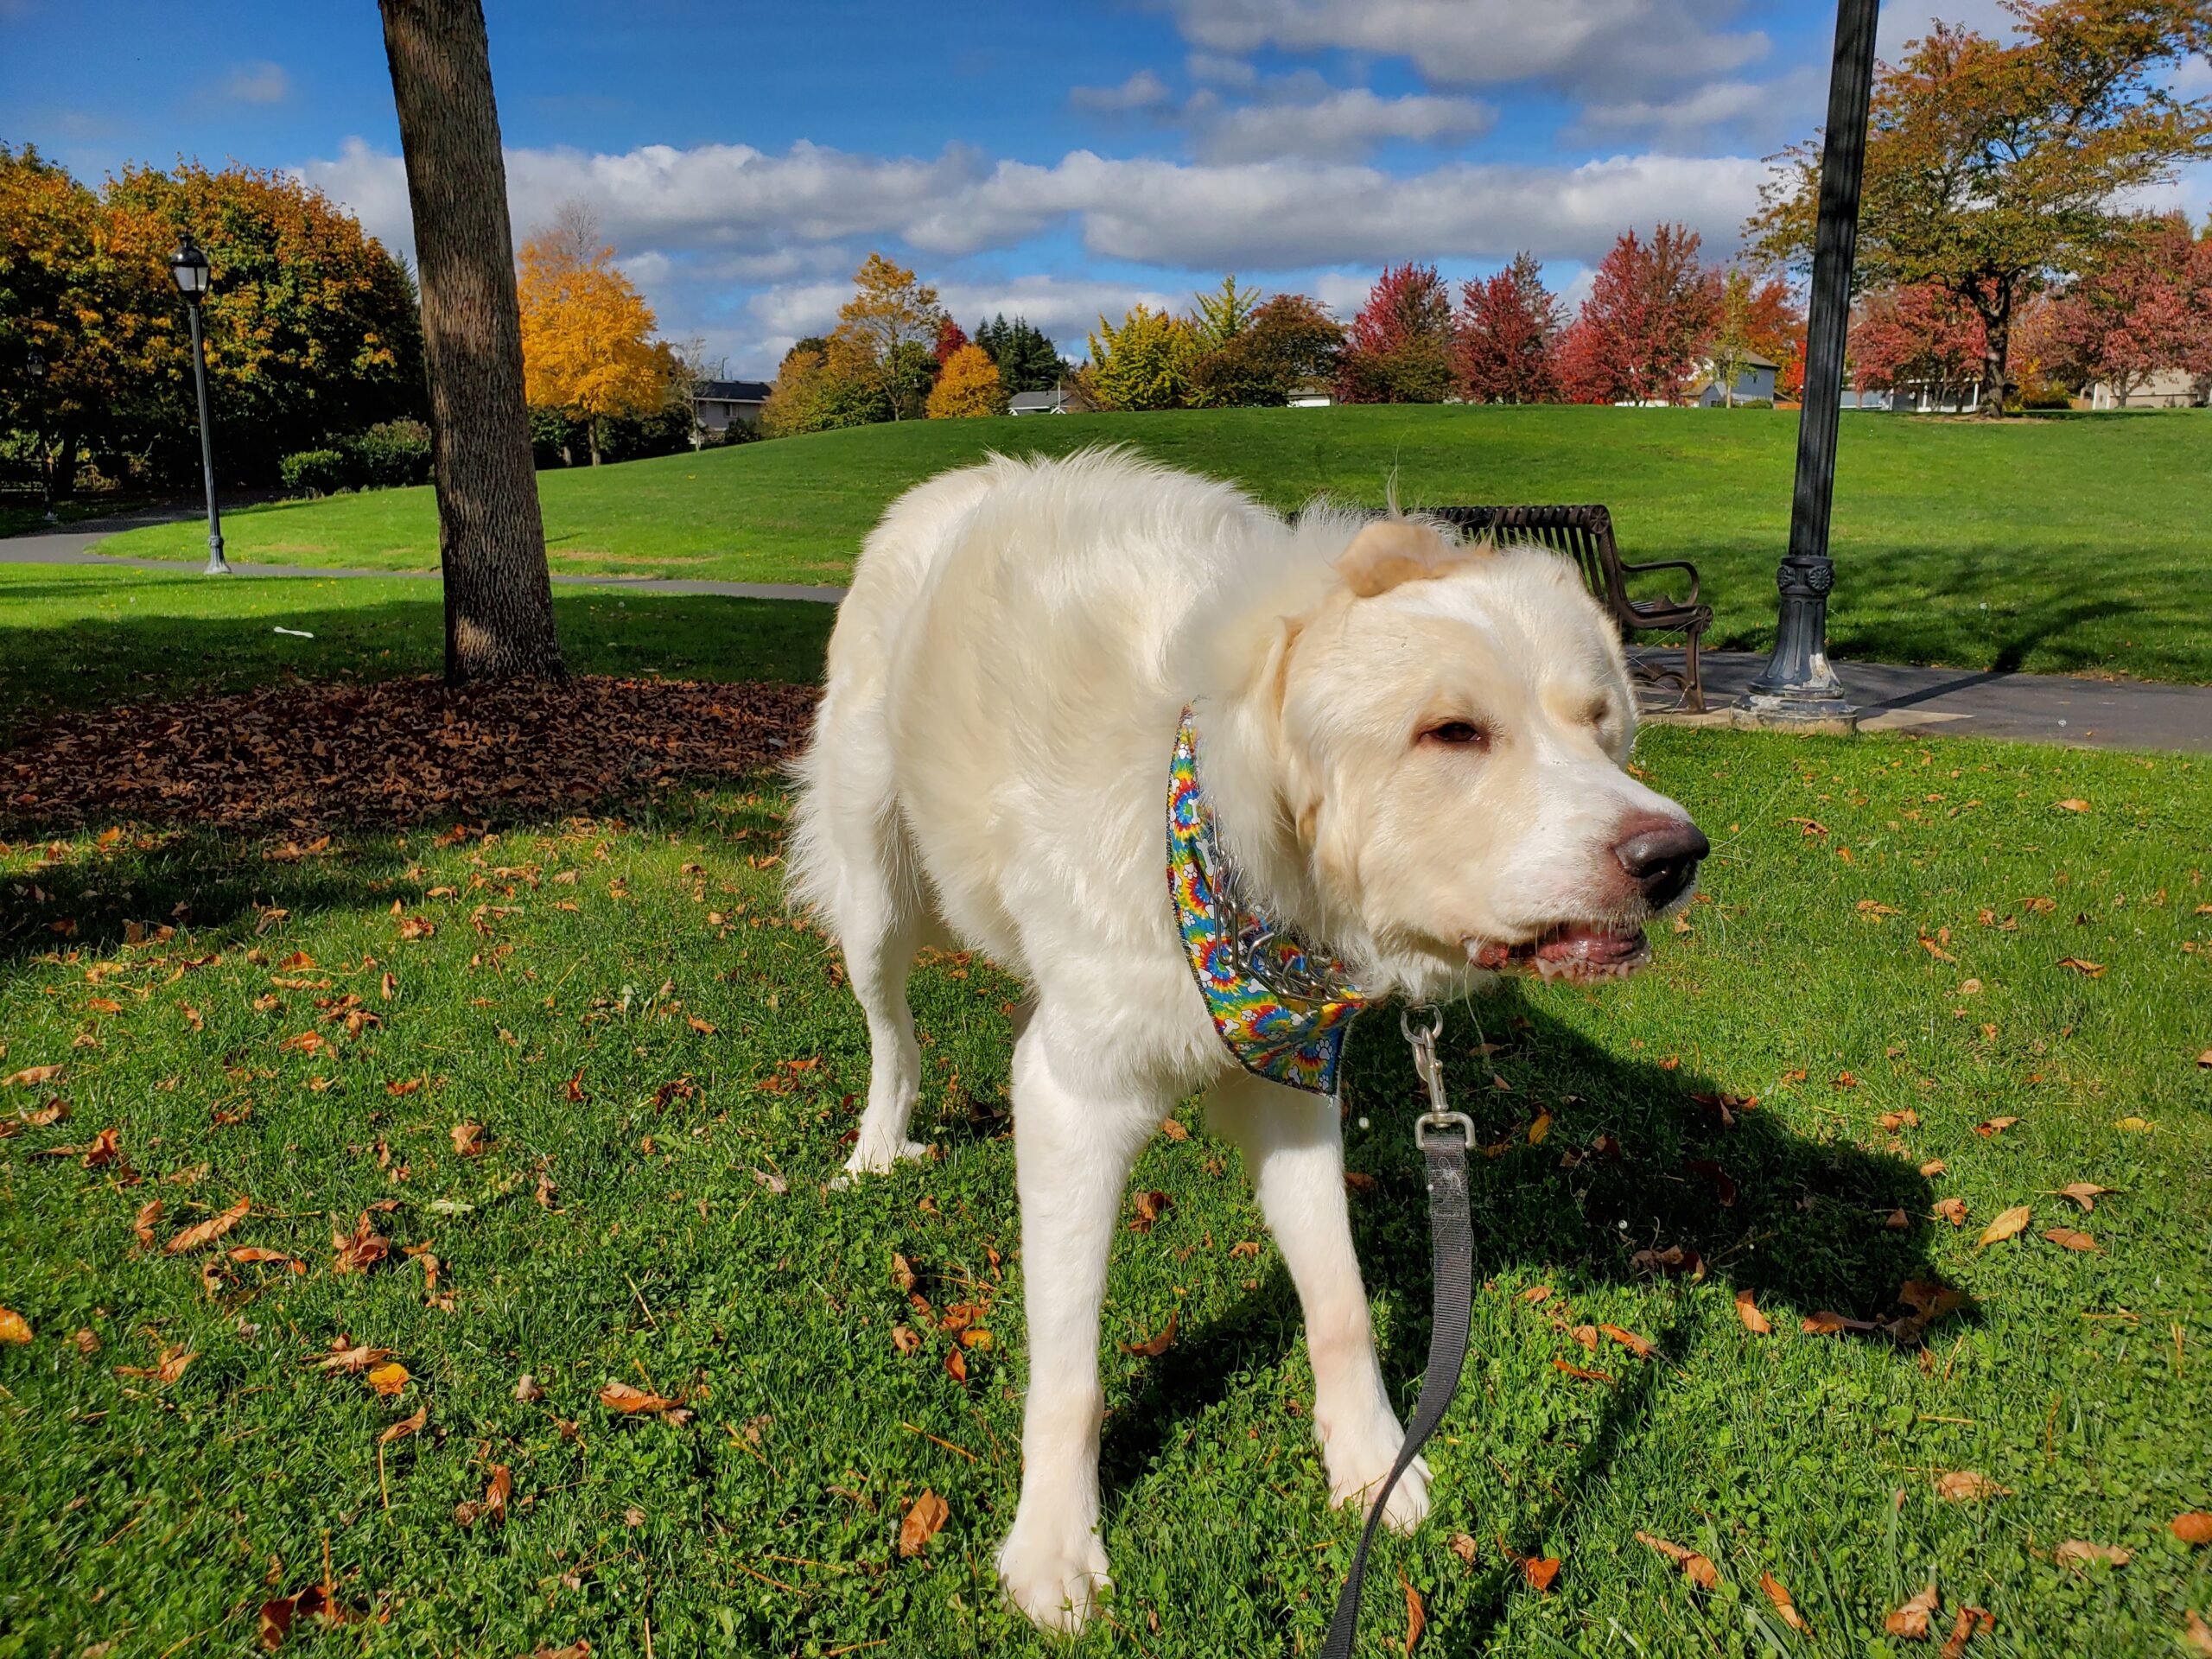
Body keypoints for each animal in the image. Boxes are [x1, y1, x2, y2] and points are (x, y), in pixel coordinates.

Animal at [788, 448, 1706, 1630]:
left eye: (1597, 725)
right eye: (1452, 733)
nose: (1674, 856)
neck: (1214, 823)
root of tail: (961, 478)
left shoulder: (1291, 1090)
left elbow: (1340, 1302)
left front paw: (1371, 1465)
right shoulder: (1073, 1106)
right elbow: (1069, 1373)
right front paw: (1053, 1548)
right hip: (875, 891)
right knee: (890, 1028)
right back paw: (875, 1147)